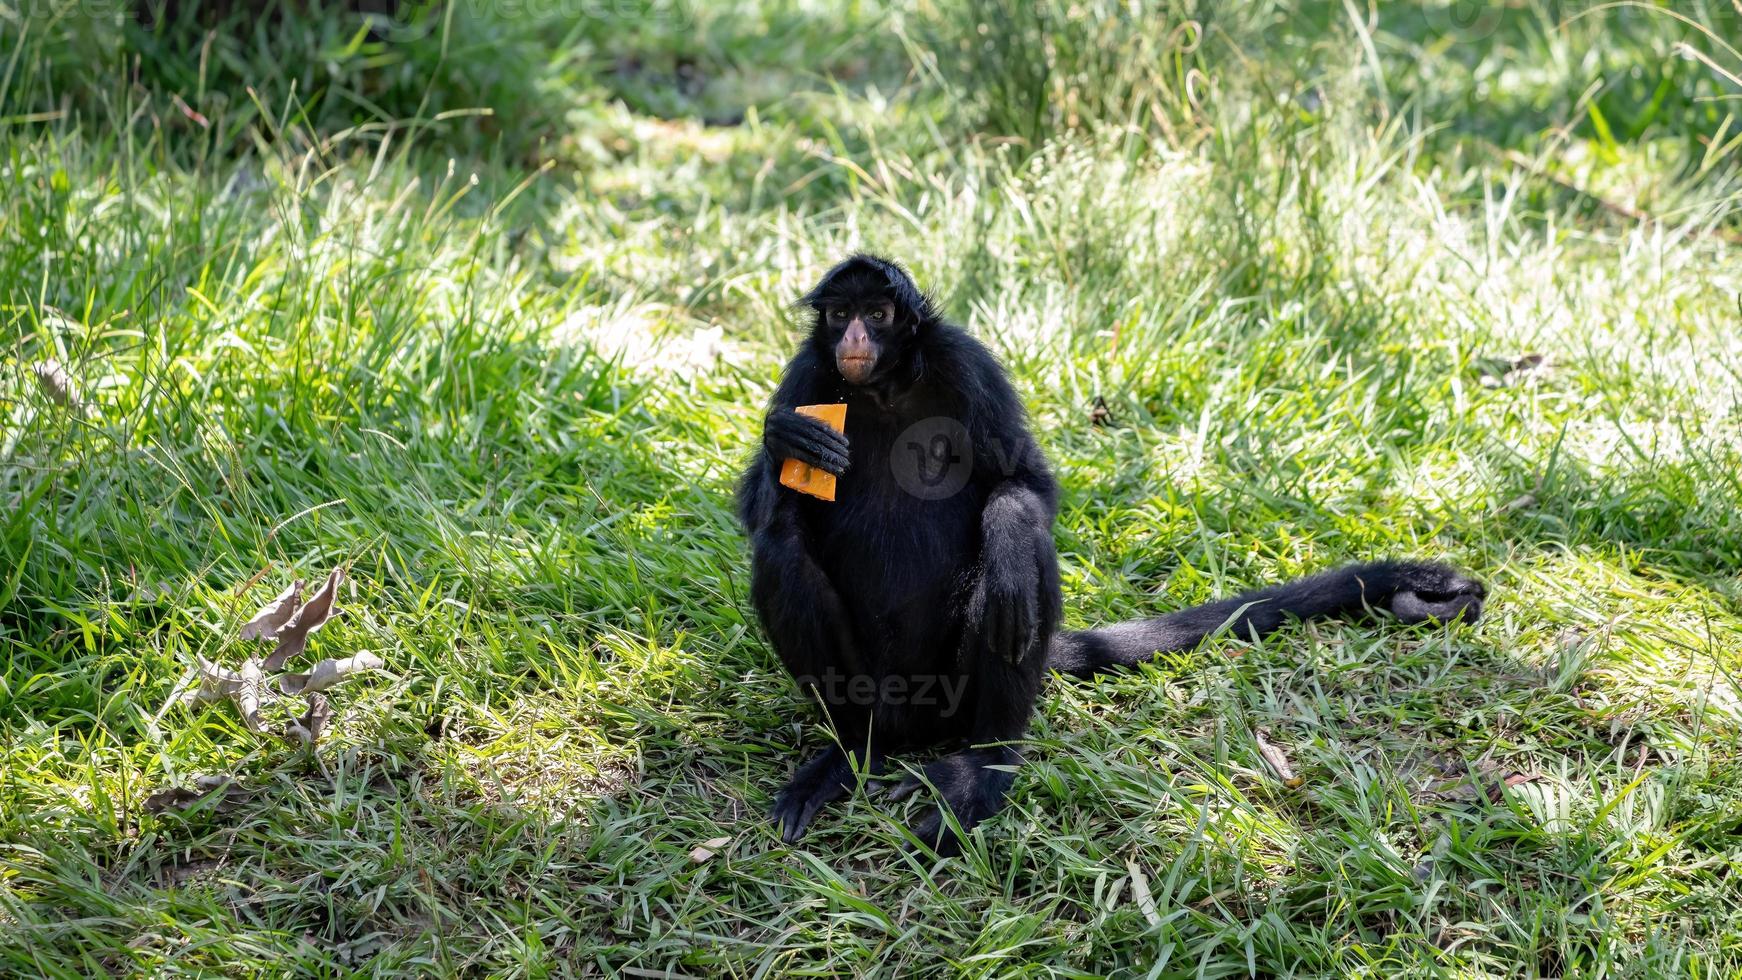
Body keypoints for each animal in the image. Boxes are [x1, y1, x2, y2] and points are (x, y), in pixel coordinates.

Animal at [735, 255, 1484, 859]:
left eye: (879, 313)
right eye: (840, 314)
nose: (855, 337)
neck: (887, 388)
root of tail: (913, 715)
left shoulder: (963, 362)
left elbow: (1026, 491)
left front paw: (1008, 529)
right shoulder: (809, 373)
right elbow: (762, 510)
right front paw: (786, 440)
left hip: (956, 688)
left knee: (1017, 571)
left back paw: (982, 768)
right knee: (782, 550)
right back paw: (856, 750)